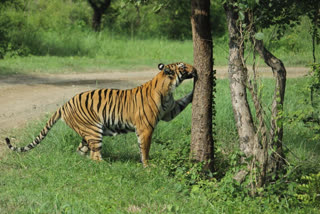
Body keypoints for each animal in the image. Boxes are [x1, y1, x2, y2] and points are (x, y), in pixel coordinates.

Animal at [5, 61, 196, 167]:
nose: (195, 68)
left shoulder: (170, 111)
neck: (168, 89)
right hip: (94, 130)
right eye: (182, 66)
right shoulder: (145, 128)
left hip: (88, 133)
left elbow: (184, 100)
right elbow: (145, 149)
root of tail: (65, 104)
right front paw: (148, 166)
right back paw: (109, 166)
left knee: (82, 151)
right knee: (95, 156)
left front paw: (198, 88)